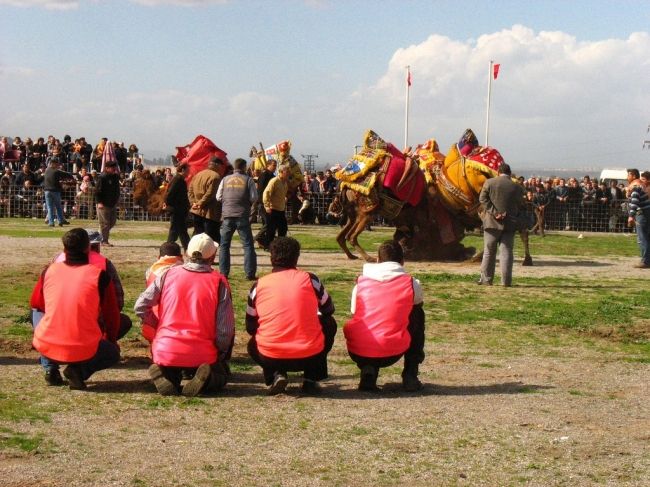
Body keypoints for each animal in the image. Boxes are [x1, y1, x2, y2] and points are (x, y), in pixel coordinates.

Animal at [332, 129, 528, 264]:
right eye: (481, 167)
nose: (514, 180)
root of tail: (345, 182)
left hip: (355, 212)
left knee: (342, 236)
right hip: (367, 210)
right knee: (350, 236)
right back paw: (367, 258)